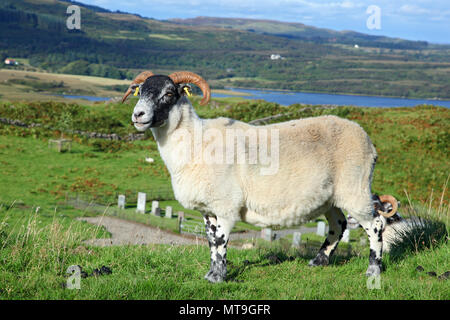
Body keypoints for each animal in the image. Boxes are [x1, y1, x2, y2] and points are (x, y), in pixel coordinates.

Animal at [123, 70, 390, 282]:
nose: (138, 115)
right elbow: (211, 242)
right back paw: (318, 261)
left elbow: (220, 241)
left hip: (355, 189)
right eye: (140, 92)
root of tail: (368, 141)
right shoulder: (207, 210)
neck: (196, 141)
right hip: (330, 197)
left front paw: (218, 278)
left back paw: (373, 270)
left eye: (169, 93)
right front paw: (211, 274)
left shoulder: (226, 206)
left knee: (376, 224)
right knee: (339, 224)